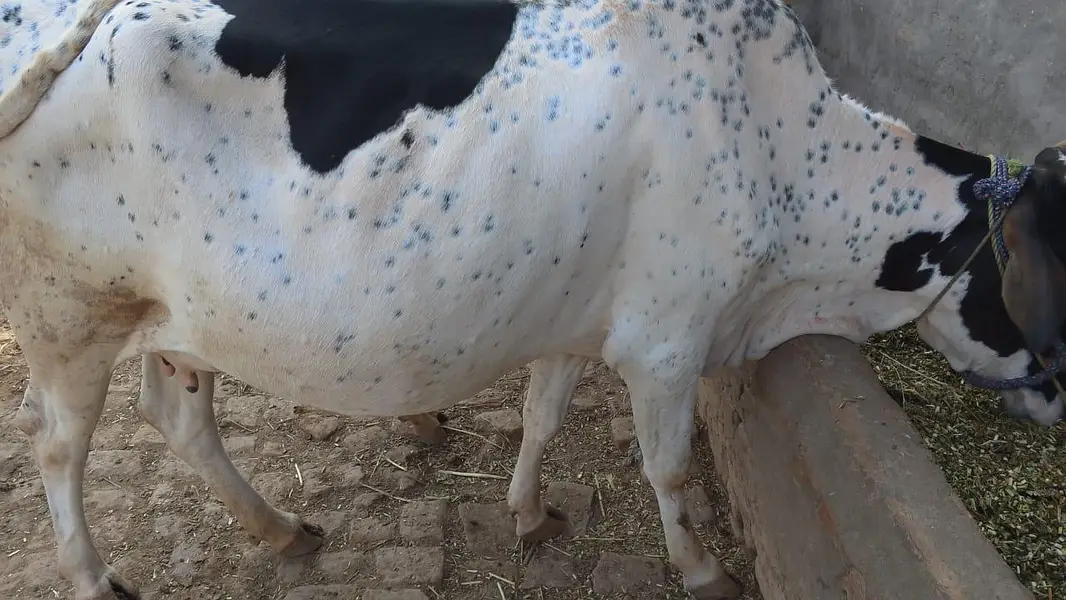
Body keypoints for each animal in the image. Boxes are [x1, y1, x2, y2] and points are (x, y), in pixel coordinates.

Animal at [2, 0, 1064, 598]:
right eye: (1049, 283)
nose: (1055, 395)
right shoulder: (668, 341)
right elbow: (669, 469)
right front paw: (702, 569)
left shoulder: (577, 316)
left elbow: (543, 415)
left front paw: (528, 512)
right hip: (66, 317)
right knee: (57, 447)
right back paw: (94, 579)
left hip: (174, 320)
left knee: (178, 416)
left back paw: (280, 529)